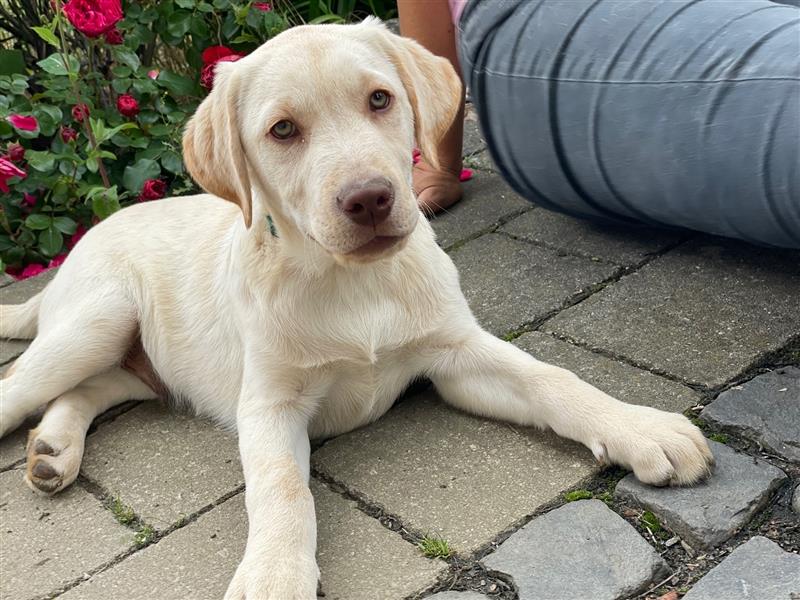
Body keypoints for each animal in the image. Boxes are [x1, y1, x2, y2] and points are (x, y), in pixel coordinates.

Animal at [0, 18, 712, 600]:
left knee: (86, 389)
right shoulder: (268, 404)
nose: (369, 198)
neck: (350, 282)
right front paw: (274, 578)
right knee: (23, 385)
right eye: (283, 130)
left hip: (136, 363)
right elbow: (283, 490)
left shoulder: (456, 354)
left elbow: (551, 378)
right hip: (99, 316)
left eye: (380, 99)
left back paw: (53, 451)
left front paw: (641, 427)